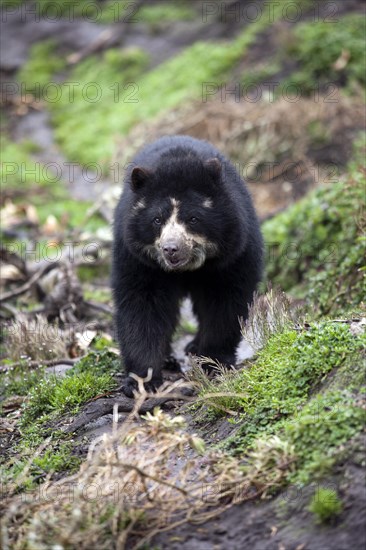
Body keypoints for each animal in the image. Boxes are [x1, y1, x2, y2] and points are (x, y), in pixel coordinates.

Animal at [111, 136, 264, 398]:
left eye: (193, 218)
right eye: (157, 220)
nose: (171, 249)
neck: (187, 269)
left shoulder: (232, 254)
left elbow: (224, 302)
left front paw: (213, 362)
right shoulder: (138, 259)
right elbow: (141, 307)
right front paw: (143, 381)